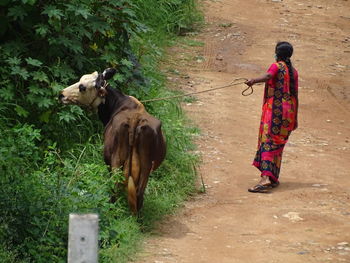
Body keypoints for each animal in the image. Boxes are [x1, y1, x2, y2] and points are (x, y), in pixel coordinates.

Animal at [58, 68, 166, 214]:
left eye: (82, 87)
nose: (61, 94)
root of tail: (134, 120)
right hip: (146, 165)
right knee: (139, 193)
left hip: (115, 160)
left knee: (115, 187)